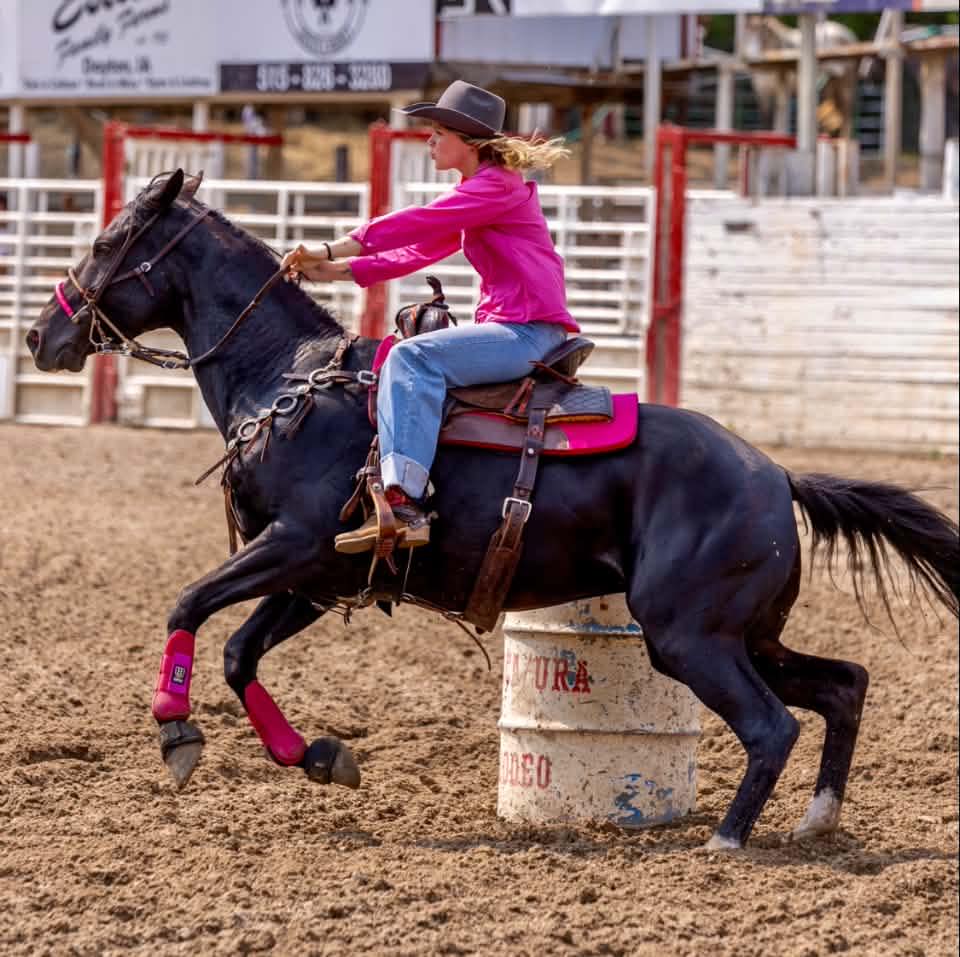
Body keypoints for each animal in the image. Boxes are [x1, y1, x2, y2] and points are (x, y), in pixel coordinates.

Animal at [27, 170, 959, 851]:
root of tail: (775, 475)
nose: (42, 336)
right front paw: (321, 757)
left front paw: (176, 734)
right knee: (842, 685)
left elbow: (186, 604)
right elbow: (237, 654)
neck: (288, 378)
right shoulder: (320, 574)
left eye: (107, 241)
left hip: (690, 635)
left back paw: (727, 839)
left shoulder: (295, 546)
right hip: (745, 632)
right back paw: (816, 819)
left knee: (771, 725)